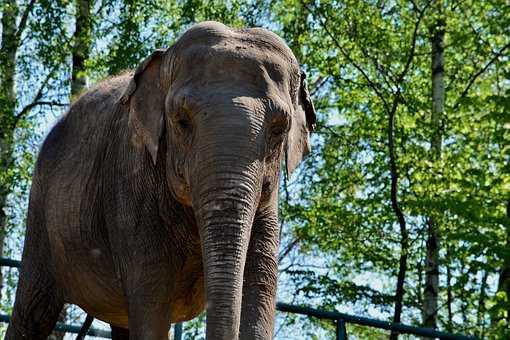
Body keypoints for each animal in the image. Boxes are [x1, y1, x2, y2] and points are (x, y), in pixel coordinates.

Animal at [5, 21, 312, 340]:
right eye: (181, 120)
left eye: (279, 128)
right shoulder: (129, 182)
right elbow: (151, 301)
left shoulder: (268, 205)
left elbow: (260, 287)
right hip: (41, 208)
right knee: (32, 310)